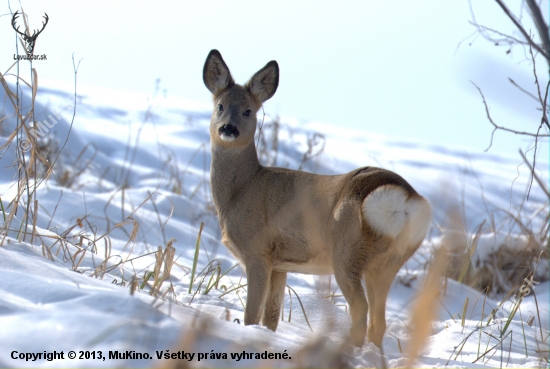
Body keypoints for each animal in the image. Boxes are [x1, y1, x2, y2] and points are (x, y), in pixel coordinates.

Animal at [205, 49, 434, 348]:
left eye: (248, 111)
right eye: (220, 106)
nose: (228, 129)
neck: (241, 190)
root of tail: (404, 199)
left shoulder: (257, 250)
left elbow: (252, 314)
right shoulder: (280, 262)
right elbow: (272, 316)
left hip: (346, 250)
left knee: (360, 309)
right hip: (390, 260)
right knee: (379, 320)